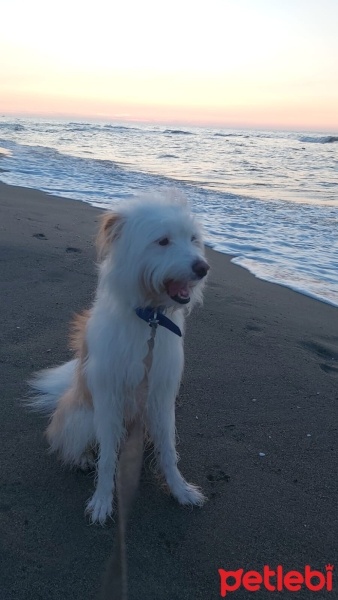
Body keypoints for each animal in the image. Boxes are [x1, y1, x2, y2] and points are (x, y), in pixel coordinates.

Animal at [29, 193, 210, 524]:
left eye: (193, 239)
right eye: (163, 241)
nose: (202, 268)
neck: (149, 318)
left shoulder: (161, 397)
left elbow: (169, 451)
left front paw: (180, 490)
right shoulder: (108, 398)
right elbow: (107, 459)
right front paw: (102, 501)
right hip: (84, 416)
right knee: (75, 443)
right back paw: (83, 458)